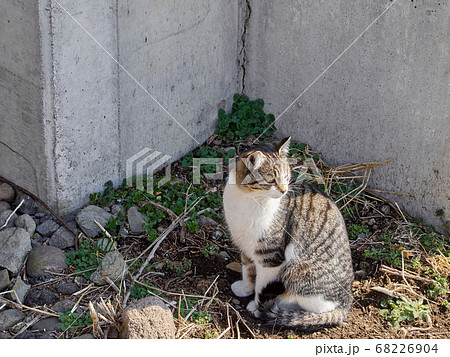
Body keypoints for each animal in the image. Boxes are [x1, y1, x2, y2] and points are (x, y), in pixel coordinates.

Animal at [223, 137, 354, 328]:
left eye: (286, 177)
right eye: (271, 179)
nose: (284, 190)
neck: (247, 199)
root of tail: (346, 304)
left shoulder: (270, 257)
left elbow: (261, 286)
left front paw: (256, 305)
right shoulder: (244, 244)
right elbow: (248, 270)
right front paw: (245, 288)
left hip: (299, 270)